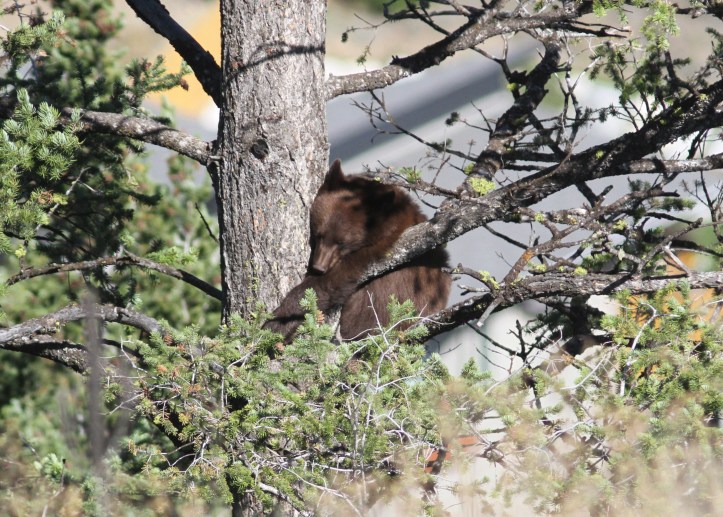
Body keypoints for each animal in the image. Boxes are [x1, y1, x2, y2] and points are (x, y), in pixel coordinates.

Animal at [265, 159, 451, 341]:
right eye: (319, 235)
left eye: (342, 243)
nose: (319, 267)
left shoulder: (377, 247)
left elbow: (333, 281)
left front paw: (276, 323)